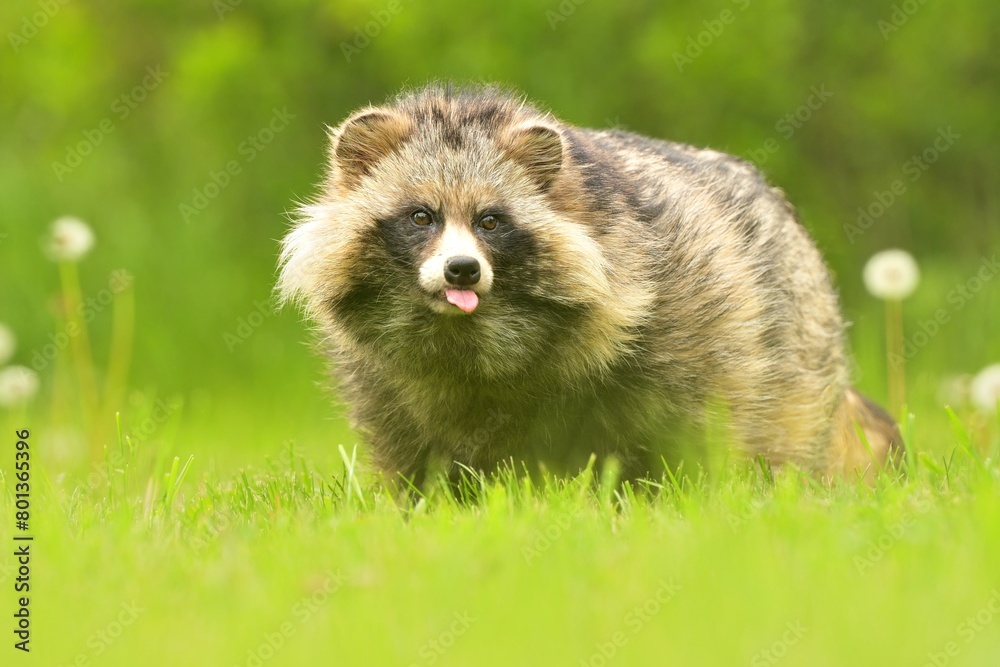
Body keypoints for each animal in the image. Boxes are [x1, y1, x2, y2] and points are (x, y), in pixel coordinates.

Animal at [278, 84, 902, 487]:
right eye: (420, 217)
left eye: (490, 221)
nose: (462, 270)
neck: (465, 332)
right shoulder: (383, 373)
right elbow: (408, 442)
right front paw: (422, 500)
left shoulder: (671, 315)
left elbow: (681, 429)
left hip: (789, 341)